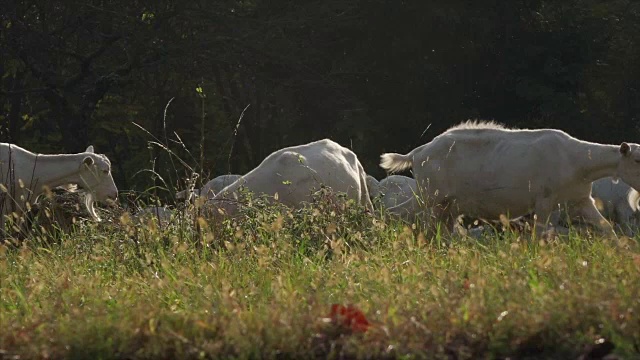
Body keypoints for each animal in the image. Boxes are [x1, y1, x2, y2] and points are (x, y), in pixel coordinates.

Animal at [380, 119, 640, 236]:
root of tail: (418, 152)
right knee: (399, 215)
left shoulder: (581, 200)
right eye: (637, 160)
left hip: (444, 205)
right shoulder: (544, 202)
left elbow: (607, 229)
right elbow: (539, 234)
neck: (576, 160)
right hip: (429, 196)